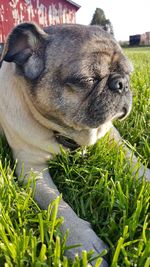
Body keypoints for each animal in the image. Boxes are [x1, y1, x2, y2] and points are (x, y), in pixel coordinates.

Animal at [0, 23, 149, 267]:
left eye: (129, 73)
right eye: (87, 79)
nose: (123, 83)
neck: (65, 133)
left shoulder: (112, 136)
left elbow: (133, 160)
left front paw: (147, 177)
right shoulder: (31, 170)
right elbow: (56, 204)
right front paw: (83, 243)